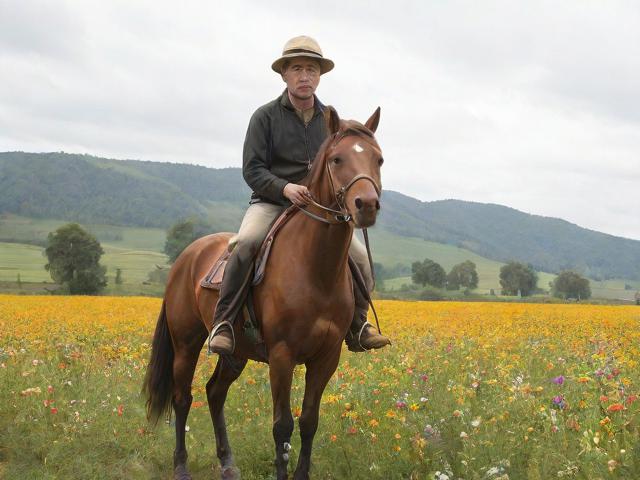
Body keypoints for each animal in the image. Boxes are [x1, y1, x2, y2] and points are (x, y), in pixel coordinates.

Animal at [142, 105, 384, 480]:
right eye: (337, 159)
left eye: (379, 159)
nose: (367, 205)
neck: (316, 268)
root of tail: (187, 254)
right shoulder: (283, 356)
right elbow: (282, 426)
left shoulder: (326, 357)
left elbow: (309, 421)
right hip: (186, 343)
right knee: (183, 398)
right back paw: (181, 467)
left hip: (237, 351)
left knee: (214, 393)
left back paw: (228, 463)